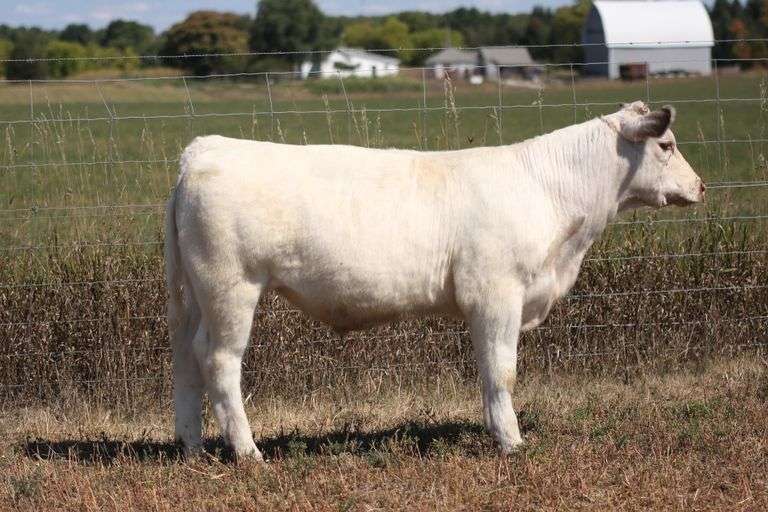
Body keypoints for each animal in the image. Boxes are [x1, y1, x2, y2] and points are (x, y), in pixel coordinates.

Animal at [164, 101, 704, 460]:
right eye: (667, 145)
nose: (700, 186)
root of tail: (205, 149)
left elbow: (489, 372)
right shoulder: (496, 294)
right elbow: (502, 372)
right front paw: (512, 442)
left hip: (194, 297)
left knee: (187, 359)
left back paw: (193, 447)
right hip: (231, 288)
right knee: (220, 362)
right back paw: (248, 453)